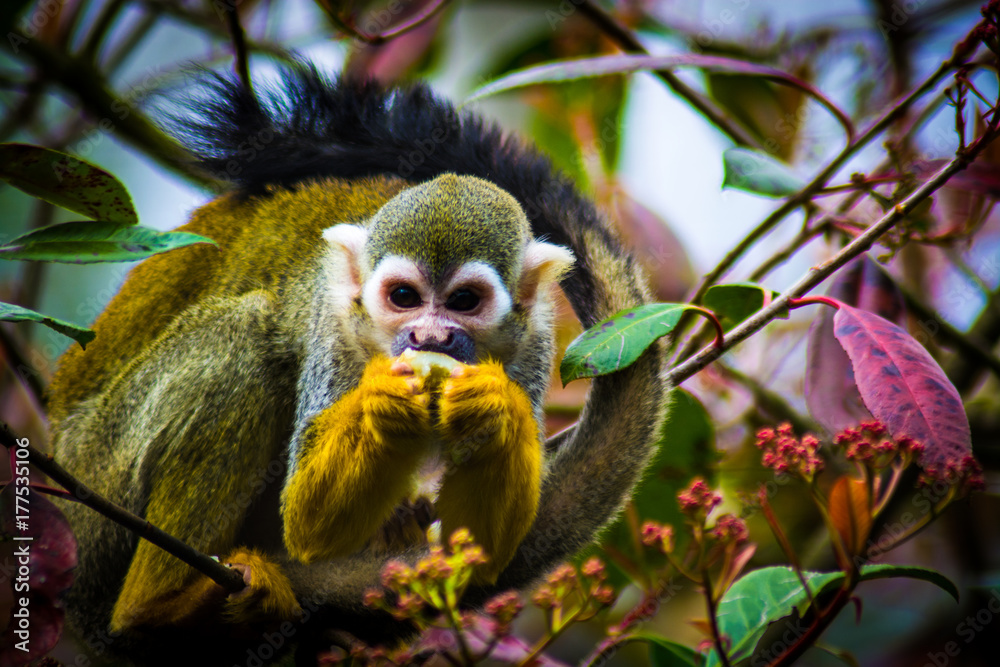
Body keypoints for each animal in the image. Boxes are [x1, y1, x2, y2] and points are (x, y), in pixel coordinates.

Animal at [44, 66, 667, 662]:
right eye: (403, 297)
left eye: (465, 302)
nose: (429, 335)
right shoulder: (335, 319)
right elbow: (307, 518)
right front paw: (381, 399)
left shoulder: (534, 339)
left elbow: (483, 544)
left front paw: (494, 406)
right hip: (97, 485)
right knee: (241, 332)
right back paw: (158, 606)